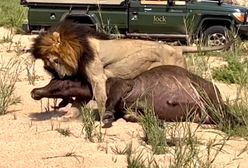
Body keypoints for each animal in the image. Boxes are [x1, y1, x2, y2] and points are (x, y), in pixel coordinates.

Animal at [30, 21, 231, 123]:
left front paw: (103, 119)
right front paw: (68, 115)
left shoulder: (97, 76)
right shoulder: (85, 79)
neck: (79, 51)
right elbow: (78, 101)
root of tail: (177, 48)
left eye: (56, 60)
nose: (62, 76)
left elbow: (101, 99)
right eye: (49, 64)